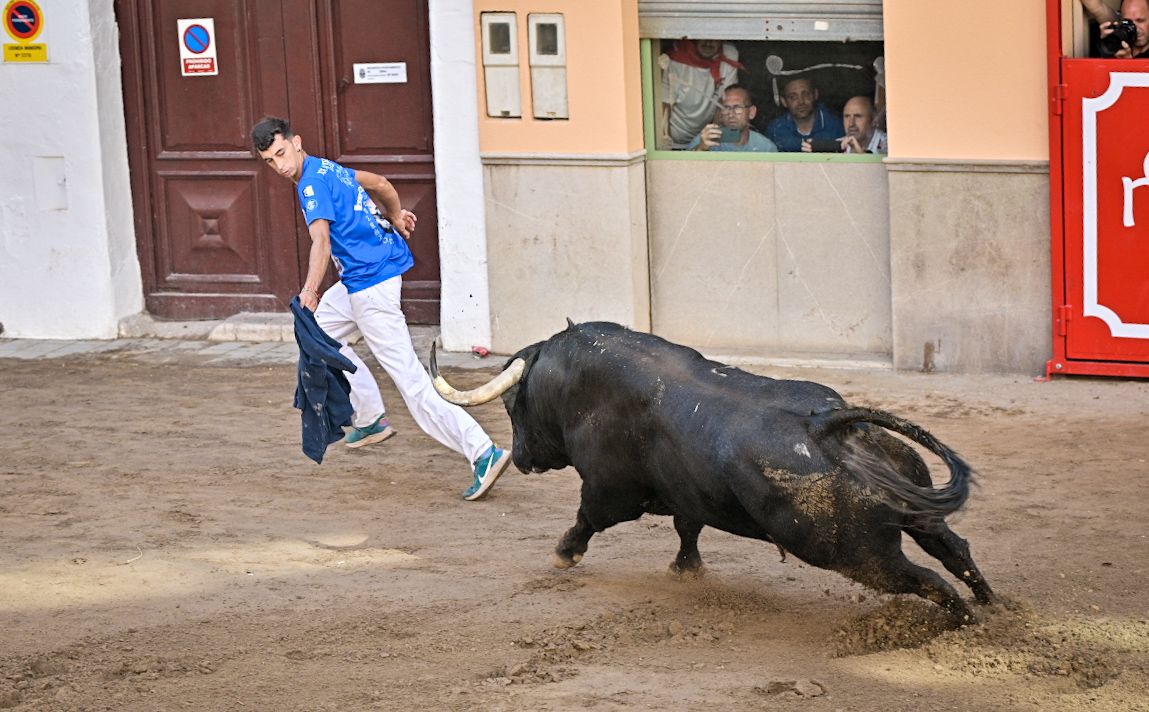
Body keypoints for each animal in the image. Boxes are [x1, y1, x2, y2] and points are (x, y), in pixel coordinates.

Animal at [432, 319, 997, 620]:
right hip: (917, 511)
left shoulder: (609, 492)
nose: (522, 458)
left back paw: (961, 622)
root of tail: (827, 425)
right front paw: (687, 569)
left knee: (929, 579)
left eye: (513, 406)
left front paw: (564, 553)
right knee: (954, 550)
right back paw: (993, 607)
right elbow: (688, 527)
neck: (584, 386)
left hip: (858, 554)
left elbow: (587, 519)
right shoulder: (688, 490)